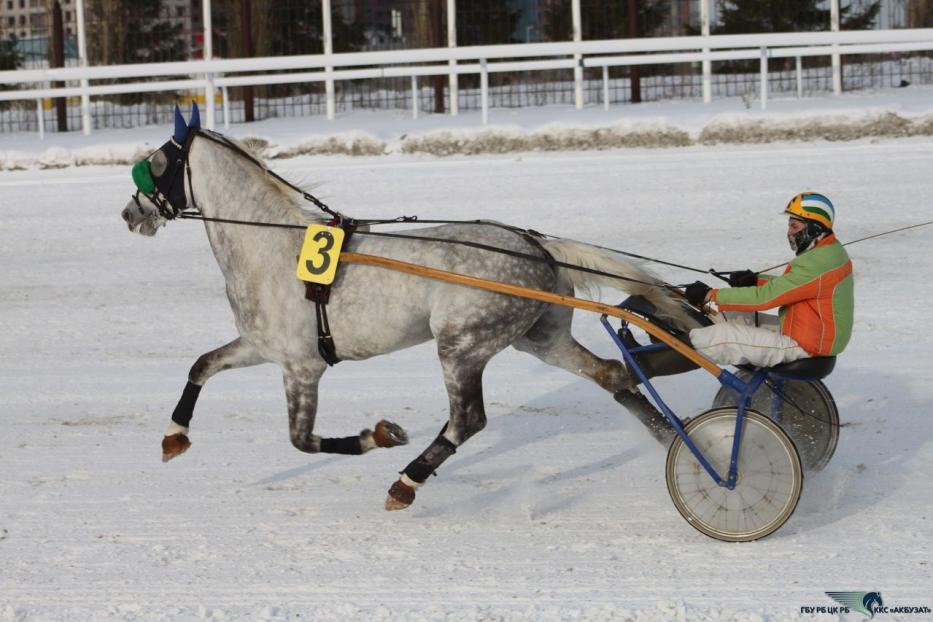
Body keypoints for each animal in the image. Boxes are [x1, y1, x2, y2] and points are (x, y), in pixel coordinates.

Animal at [120, 103, 696, 512]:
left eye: (155, 164)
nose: (129, 213)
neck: (272, 248)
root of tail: (537, 247)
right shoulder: (263, 347)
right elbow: (202, 365)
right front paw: (174, 437)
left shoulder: (302, 367)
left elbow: (302, 441)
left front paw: (379, 436)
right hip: (540, 337)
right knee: (611, 375)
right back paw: (682, 443)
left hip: (462, 345)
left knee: (467, 420)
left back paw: (406, 482)